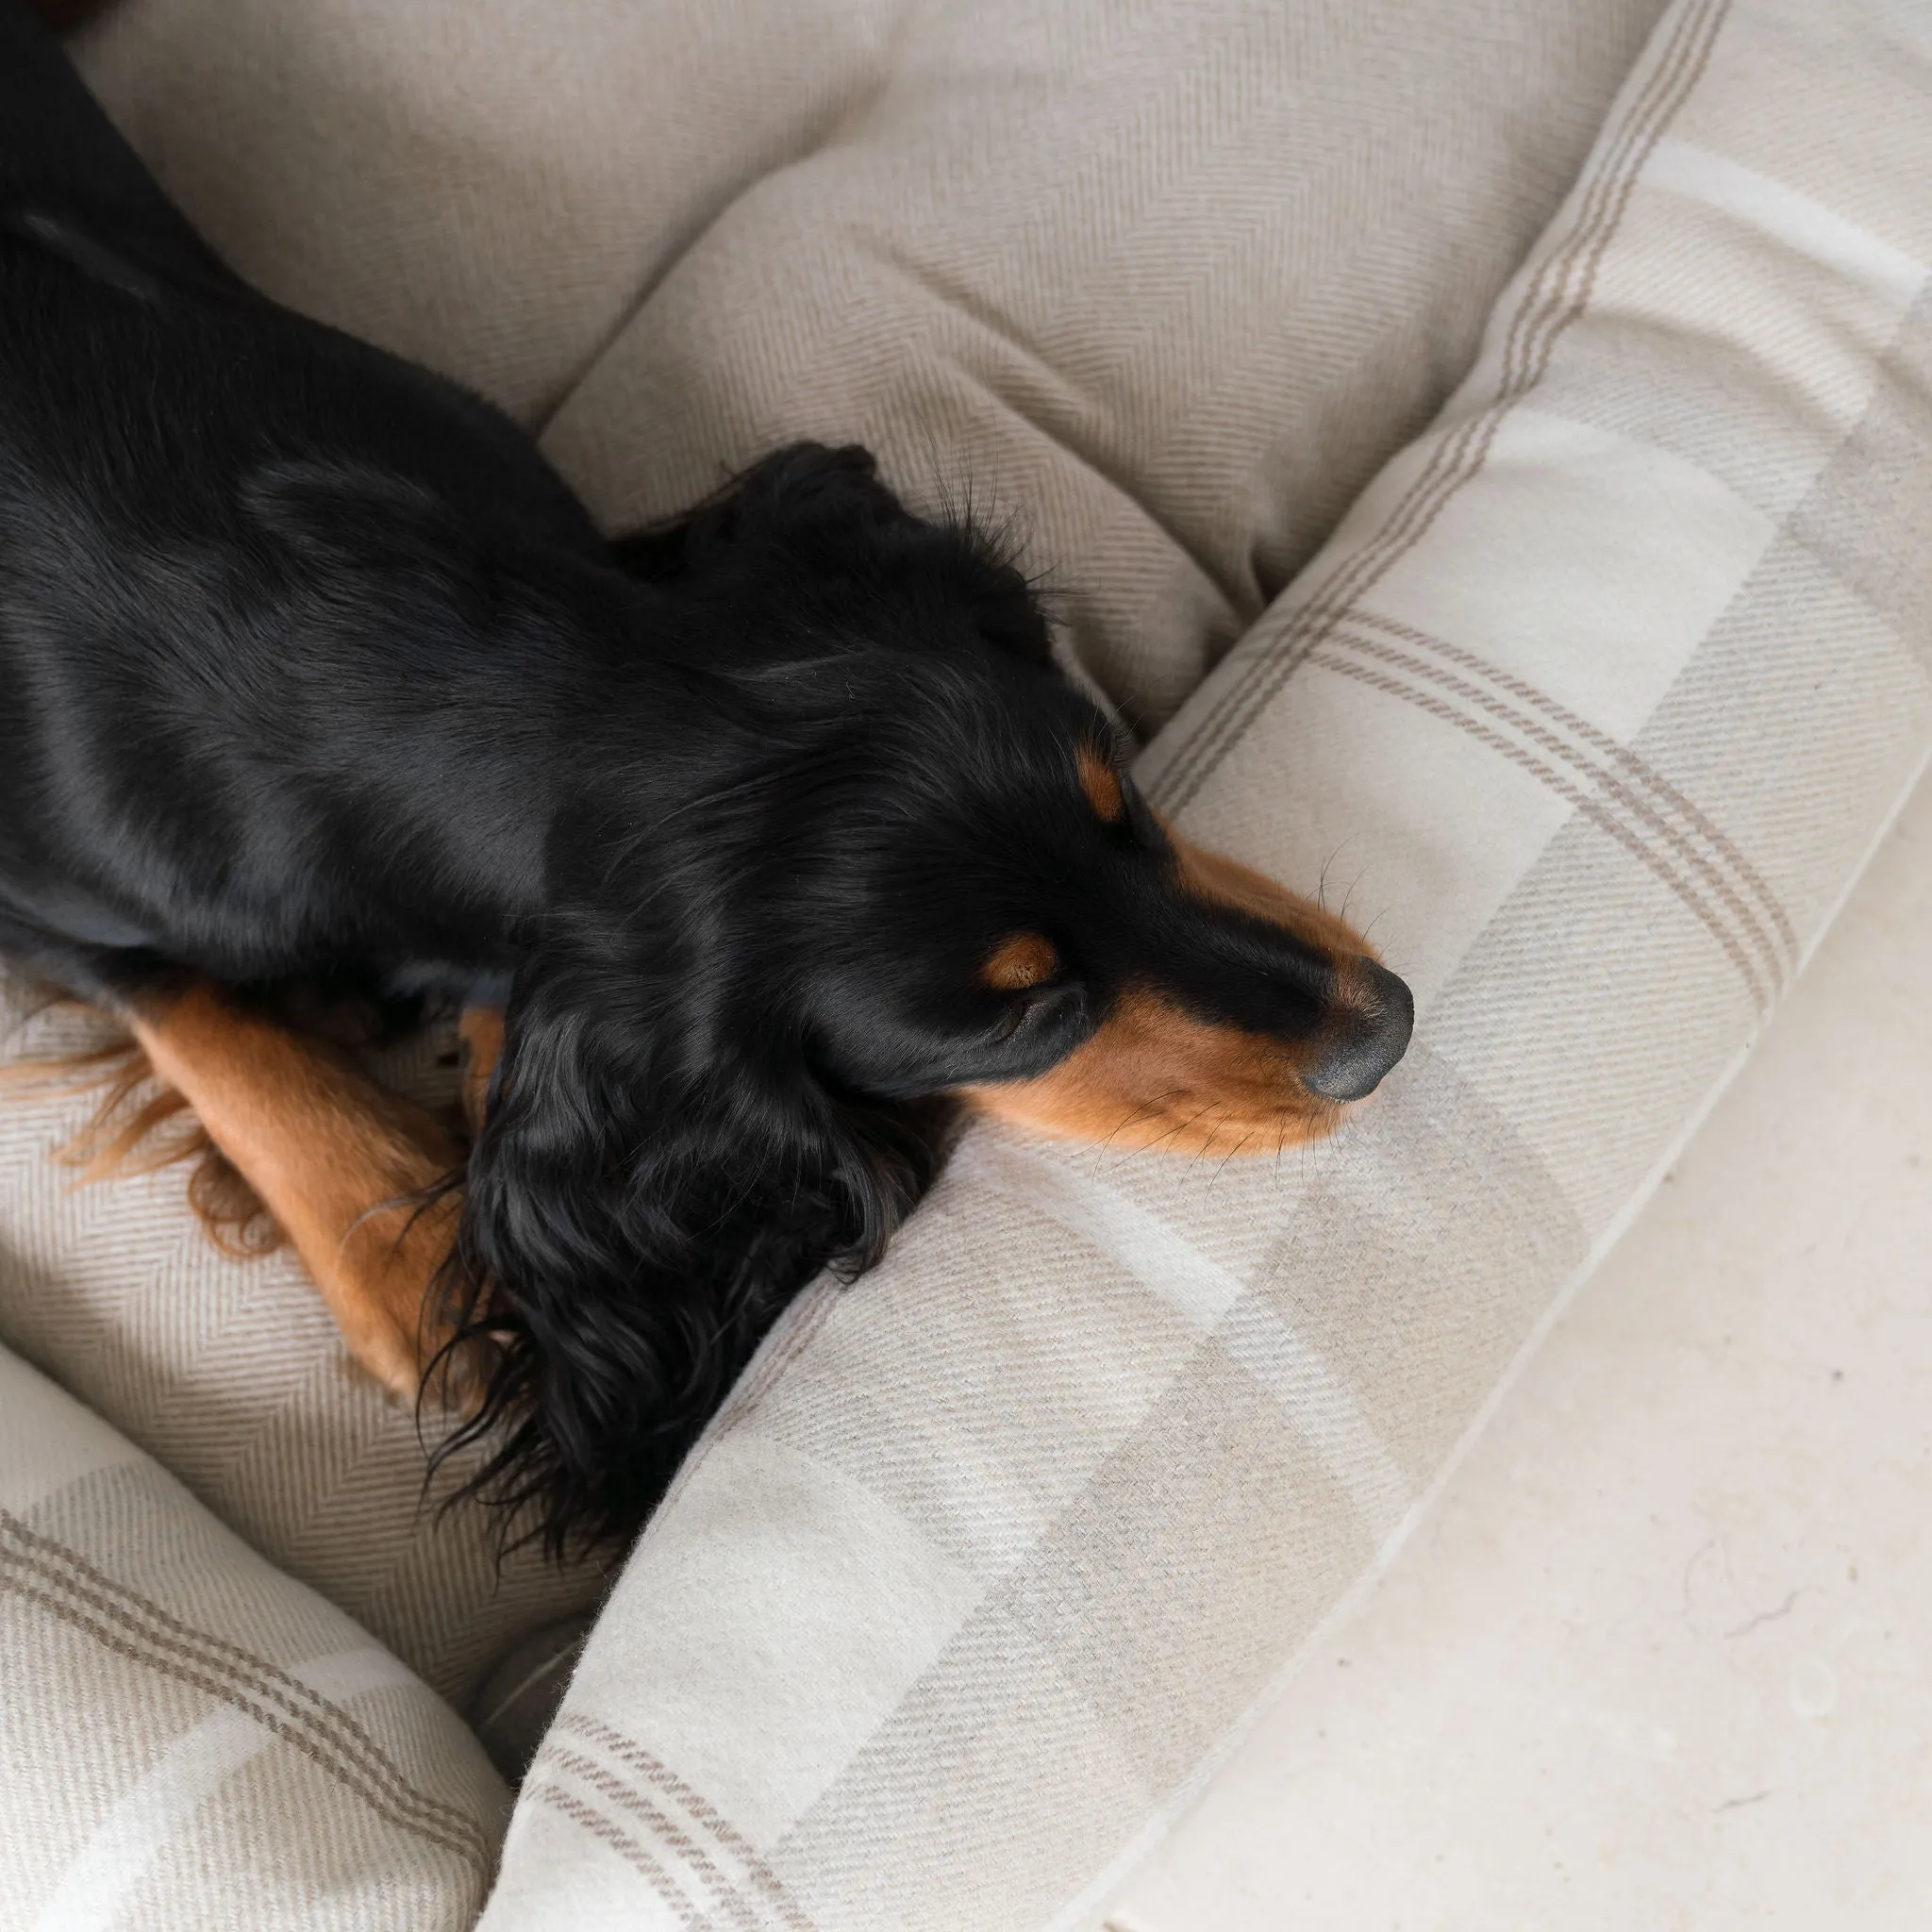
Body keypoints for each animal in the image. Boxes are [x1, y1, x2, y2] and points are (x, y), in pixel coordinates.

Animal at [4, 4, 1422, 1553]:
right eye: (1017, 1014)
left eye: (1129, 806)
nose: (1385, 1029)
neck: (379, 645)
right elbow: (196, 1010)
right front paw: (407, 1251)